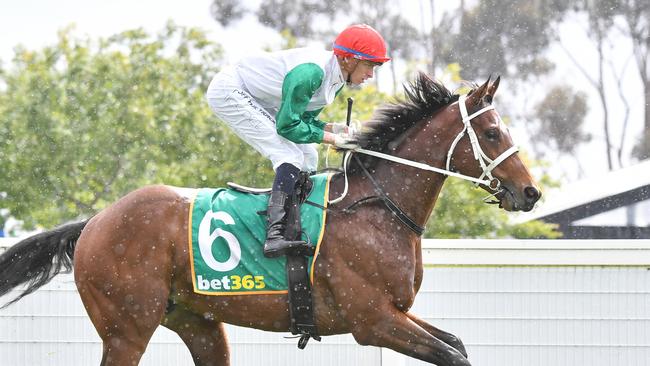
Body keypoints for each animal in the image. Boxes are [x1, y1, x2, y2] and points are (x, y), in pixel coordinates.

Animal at [0, 72, 536, 366]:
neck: (376, 209)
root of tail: (94, 223)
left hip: (197, 322)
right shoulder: (373, 321)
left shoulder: (396, 313)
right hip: (127, 327)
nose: (530, 192)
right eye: (491, 132)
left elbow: (456, 344)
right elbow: (452, 355)